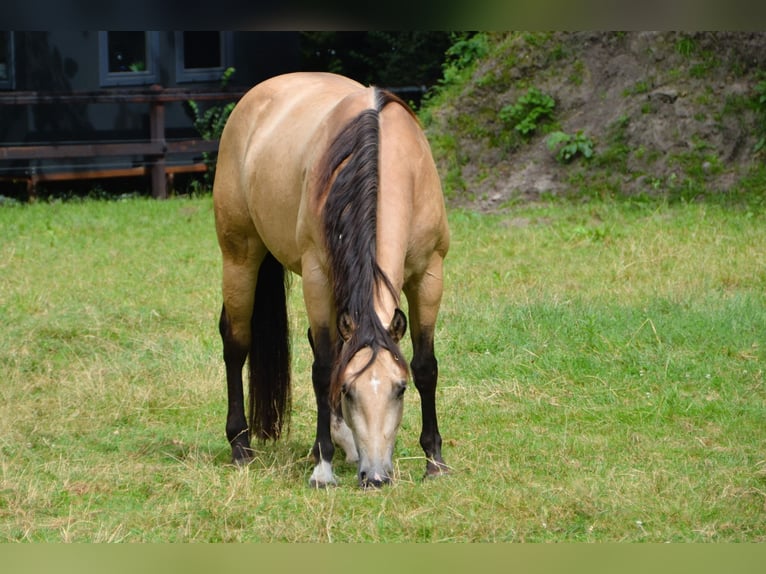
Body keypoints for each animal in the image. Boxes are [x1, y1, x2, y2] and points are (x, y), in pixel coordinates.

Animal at [212, 72, 450, 488]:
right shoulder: (317, 278)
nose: (375, 476)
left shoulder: (428, 274)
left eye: (399, 389)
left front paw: (434, 460)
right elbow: (323, 369)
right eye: (349, 391)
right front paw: (323, 468)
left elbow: (426, 366)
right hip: (239, 256)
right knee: (236, 342)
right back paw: (241, 445)